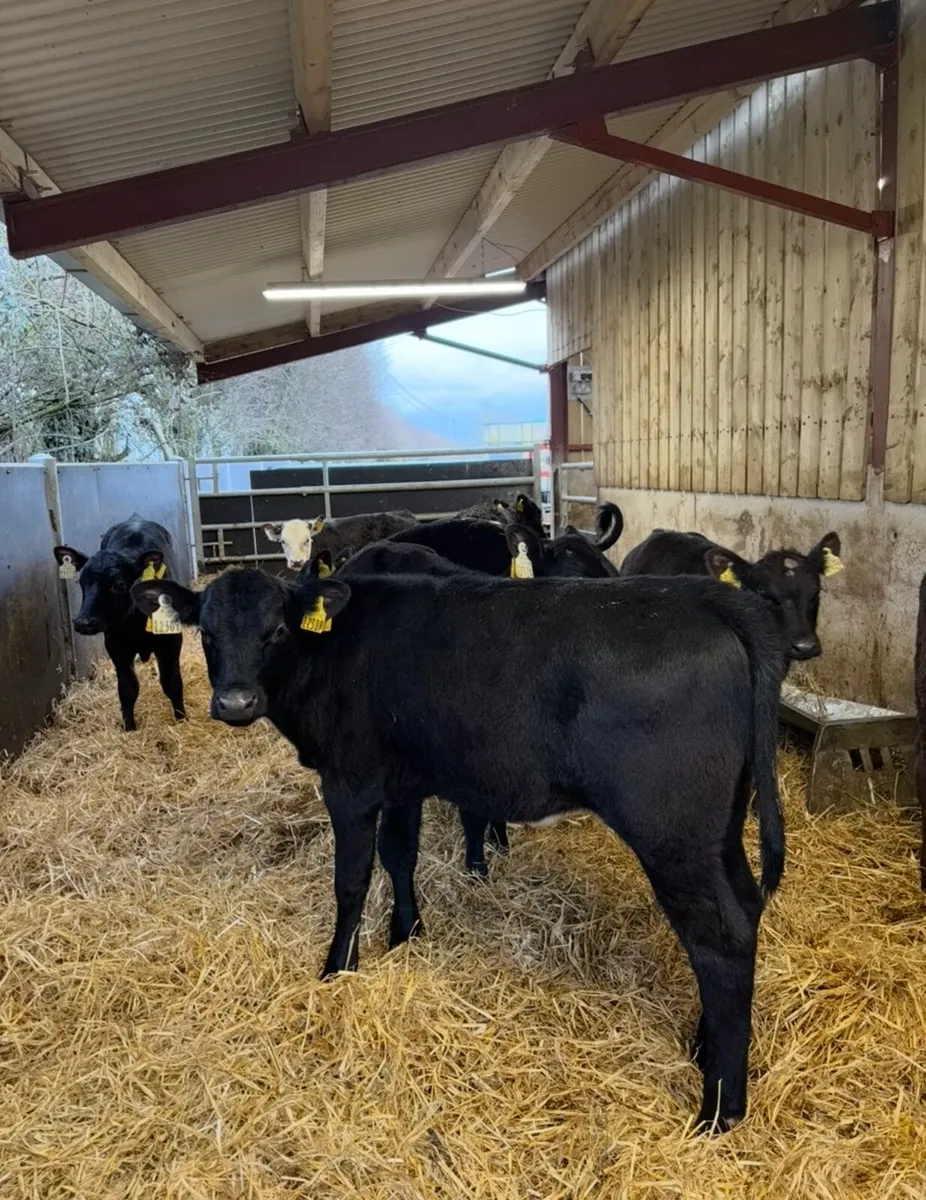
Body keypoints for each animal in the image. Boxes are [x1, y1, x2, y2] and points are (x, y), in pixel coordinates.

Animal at [54, 514, 185, 731]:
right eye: (81, 582)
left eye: (119, 584)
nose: (84, 622)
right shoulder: (115, 646)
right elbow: (128, 689)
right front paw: (129, 728)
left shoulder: (171, 641)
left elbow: (172, 683)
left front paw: (182, 720)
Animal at [132, 566, 785, 1131]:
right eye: (207, 633)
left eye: (276, 631)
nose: (234, 703)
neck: (333, 653)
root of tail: (700, 595)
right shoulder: (402, 782)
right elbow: (399, 856)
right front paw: (405, 933)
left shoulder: (349, 783)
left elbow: (352, 880)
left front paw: (338, 968)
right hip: (719, 828)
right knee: (743, 910)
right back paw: (705, 1046)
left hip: (673, 831)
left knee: (719, 936)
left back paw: (720, 1109)